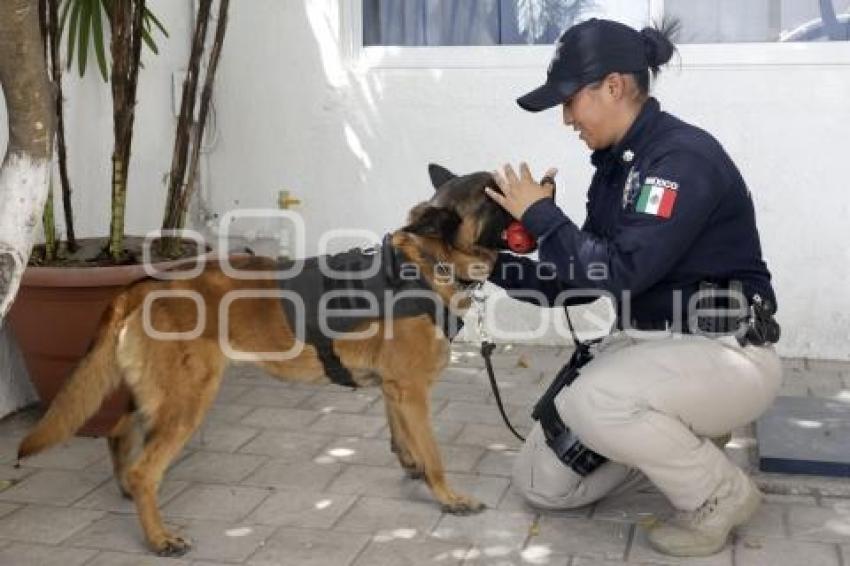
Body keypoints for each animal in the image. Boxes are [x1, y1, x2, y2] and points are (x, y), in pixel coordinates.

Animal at [16, 164, 528, 560]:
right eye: (492, 189)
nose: (538, 188)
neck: (427, 264)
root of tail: (142, 286)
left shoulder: (395, 390)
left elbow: (402, 437)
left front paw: (411, 465)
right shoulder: (412, 390)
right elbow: (435, 454)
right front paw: (448, 497)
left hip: (157, 394)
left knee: (120, 433)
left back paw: (127, 490)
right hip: (187, 400)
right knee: (146, 467)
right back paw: (159, 537)